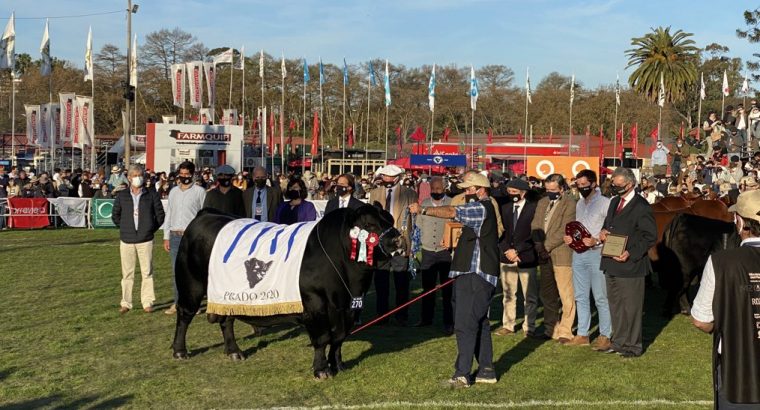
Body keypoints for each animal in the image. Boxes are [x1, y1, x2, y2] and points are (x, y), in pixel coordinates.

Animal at [171, 207, 404, 380]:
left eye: (389, 219)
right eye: (369, 225)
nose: (398, 240)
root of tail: (207, 214)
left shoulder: (347, 310)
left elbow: (338, 338)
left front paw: (338, 365)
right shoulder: (315, 304)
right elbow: (323, 338)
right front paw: (322, 370)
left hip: (224, 295)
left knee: (226, 320)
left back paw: (234, 351)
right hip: (191, 284)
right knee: (185, 315)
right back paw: (180, 351)